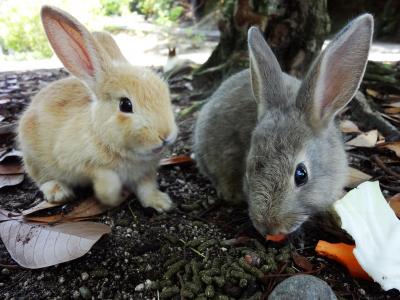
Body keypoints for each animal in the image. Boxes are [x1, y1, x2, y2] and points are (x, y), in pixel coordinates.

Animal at [17, 4, 177, 211]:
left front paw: (162, 203)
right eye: (125, 105)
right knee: (42, 178)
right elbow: (106, 179)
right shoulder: (79, 163)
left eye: (166, 93)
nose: (165, 135)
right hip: (34, 158)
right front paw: (112, 198)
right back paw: (58, 192)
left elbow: (146, 188)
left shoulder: (145, 173)